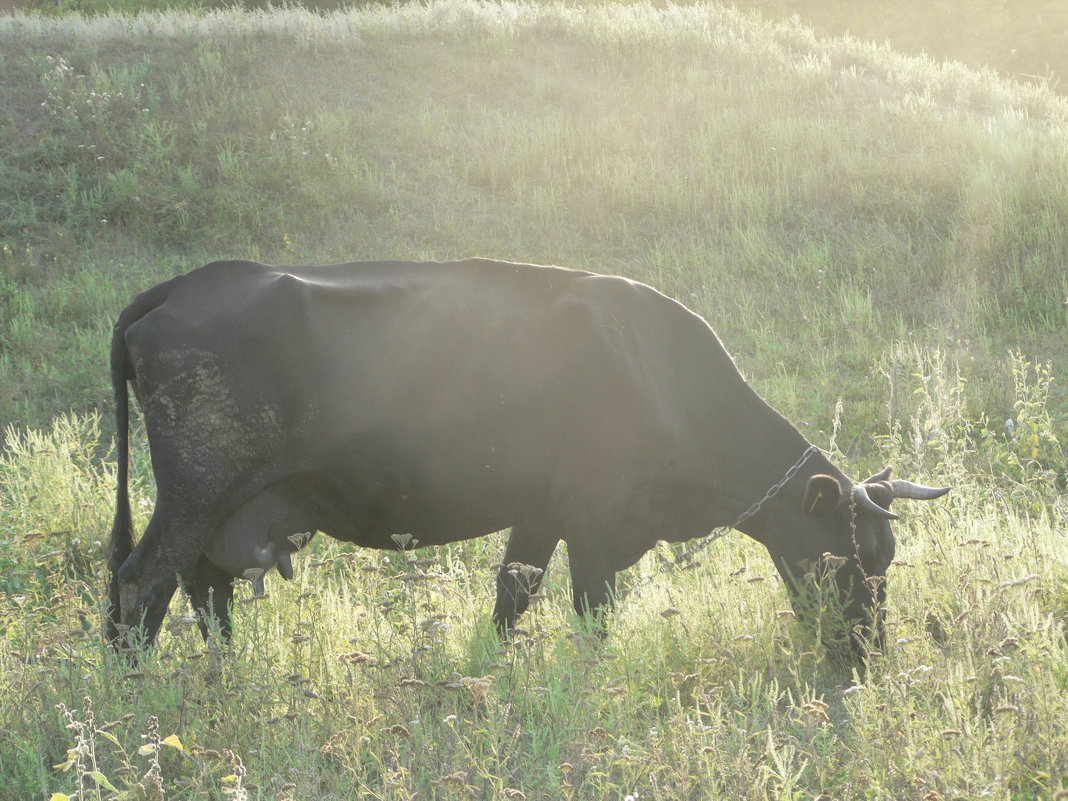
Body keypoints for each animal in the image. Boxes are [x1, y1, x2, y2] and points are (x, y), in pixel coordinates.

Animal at [104, 260, 948, 662]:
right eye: (843, 559)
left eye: (888, 559)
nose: (864, 656)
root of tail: (185, 283)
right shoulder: (595, 522)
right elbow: (592, 618)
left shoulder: (539, 516)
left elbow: (510, 604)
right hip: (196, 496)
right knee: (142, 583)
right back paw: (130, 689)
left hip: (224, 514)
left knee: (202, 593)